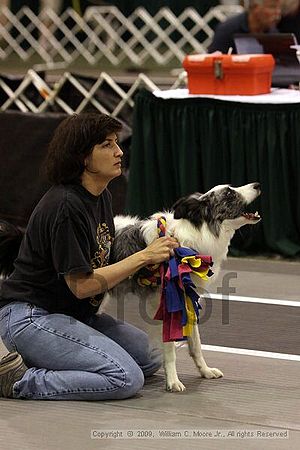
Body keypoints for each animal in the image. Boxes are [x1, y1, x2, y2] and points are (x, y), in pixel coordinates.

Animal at [107, 183, 260, 390]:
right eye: (229, 192)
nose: (257, 185)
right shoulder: (165, 303)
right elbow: (170, 348)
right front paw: (173, 381)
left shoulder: (188, 296)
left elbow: (196, 343)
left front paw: (205, 371)